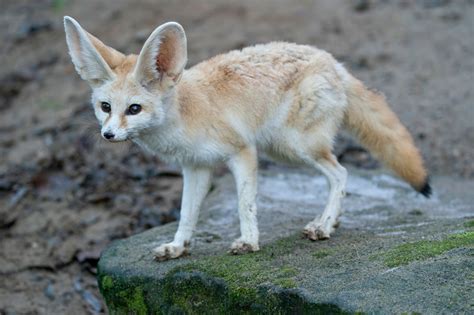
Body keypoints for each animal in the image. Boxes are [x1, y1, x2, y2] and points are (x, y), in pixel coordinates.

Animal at [63, 16, 430, 260]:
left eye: (134, 109)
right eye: (105, 107)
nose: (108, 134)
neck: (185, 114)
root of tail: (333, 62)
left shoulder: (242, 151)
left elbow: (245, 203)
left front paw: (249, 241)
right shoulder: (195, 167)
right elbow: (186, 214)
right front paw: (178, 246)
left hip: (293, 147)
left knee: (341, 173)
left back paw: (324, 225)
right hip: (284, 149)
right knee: (337, 174)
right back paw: (331, 220)